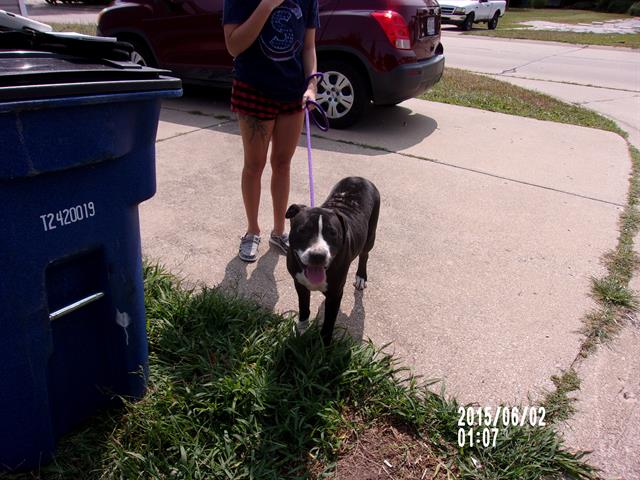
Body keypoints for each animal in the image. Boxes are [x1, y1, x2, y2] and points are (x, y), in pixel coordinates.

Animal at [284, 176, 380, 344]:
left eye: (333, 233)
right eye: (302, 230)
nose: (318, 255)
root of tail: (359, 178)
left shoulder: (335, 294)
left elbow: (329, 323)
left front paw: (324, 346)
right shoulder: (300, 284)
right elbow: (304, 307)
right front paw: (301, 330)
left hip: (370, 235)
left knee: (364, 255)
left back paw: (361, 276)